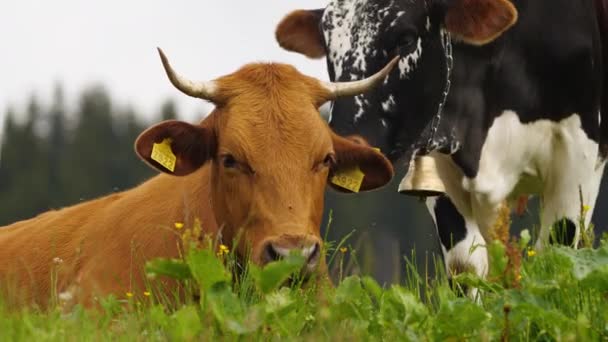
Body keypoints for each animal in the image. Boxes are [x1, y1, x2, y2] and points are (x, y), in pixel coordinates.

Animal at [278, 0, 608, 280]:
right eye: (329, 49)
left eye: (406, 39)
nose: (342, 142)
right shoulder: (440, 159)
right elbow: (466, 265)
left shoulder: (577, 152)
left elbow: (557, 255)